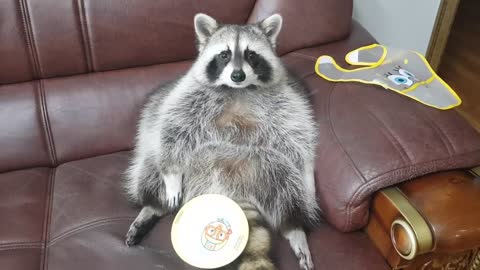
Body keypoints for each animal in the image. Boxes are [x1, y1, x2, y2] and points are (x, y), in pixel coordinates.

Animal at [124, 13, 318, 270]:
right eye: (224, 54)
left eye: (251, 55)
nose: (238, 75)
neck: (238, 89)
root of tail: (229, 187)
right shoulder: (188, 94)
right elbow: (173, 127)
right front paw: (172, 176)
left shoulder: (286, 100)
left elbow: (298, 139)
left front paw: (308, 175)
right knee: (152, 164)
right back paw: (152, 206)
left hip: (265, 164)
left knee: (287, 183)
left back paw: (295, 227)